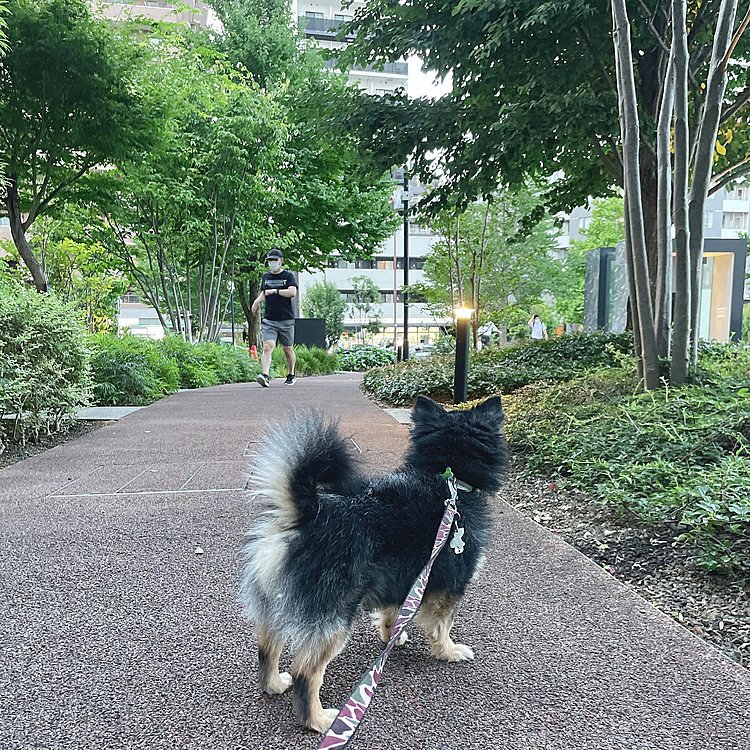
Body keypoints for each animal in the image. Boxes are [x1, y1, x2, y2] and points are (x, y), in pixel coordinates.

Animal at [242, 400, 512, 736]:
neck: (449, 482)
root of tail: (304, 517)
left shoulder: (405, 577)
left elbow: (394, 612)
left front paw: (391, 636)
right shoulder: (448, 587)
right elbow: (442, 627)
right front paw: (448, 652)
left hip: (276, 607)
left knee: (267, 648)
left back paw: (275, 684)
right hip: (335, 617)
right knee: (306, 672)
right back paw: (319, 721)